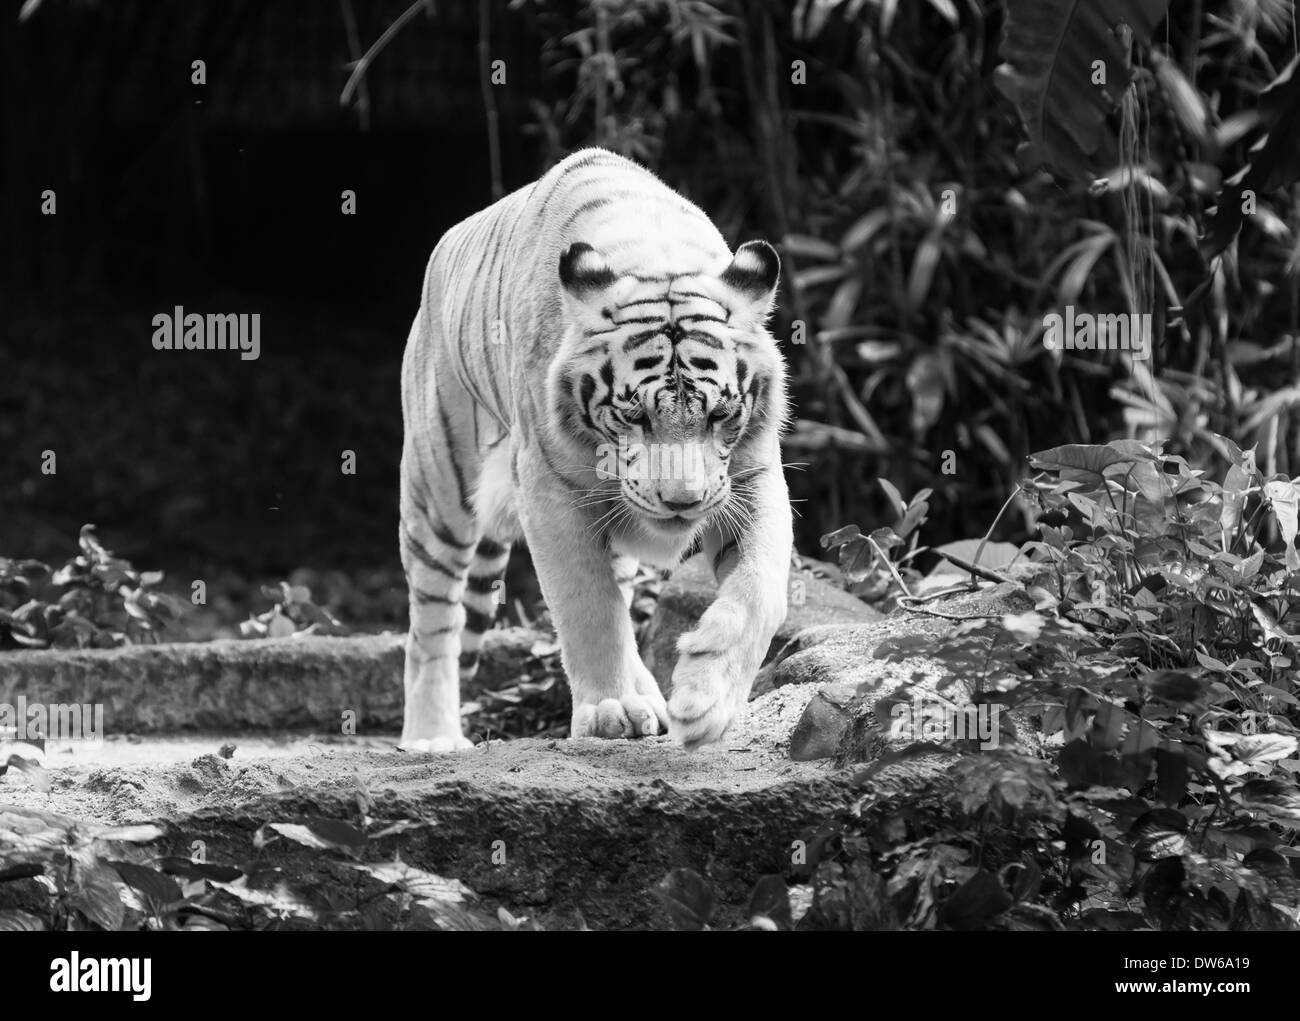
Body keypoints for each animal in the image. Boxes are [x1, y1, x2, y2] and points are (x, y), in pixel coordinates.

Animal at [398, 147, 792, 752]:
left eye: (719, 415)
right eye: (635, 416)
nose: (683, 503)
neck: (656, 253)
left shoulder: (750, 476)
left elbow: (760, 587)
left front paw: (706, 701)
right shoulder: (550, 491)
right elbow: (587, 606)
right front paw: (608, 709)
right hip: (439, 489)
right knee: (432, 625)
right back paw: (431, 740)